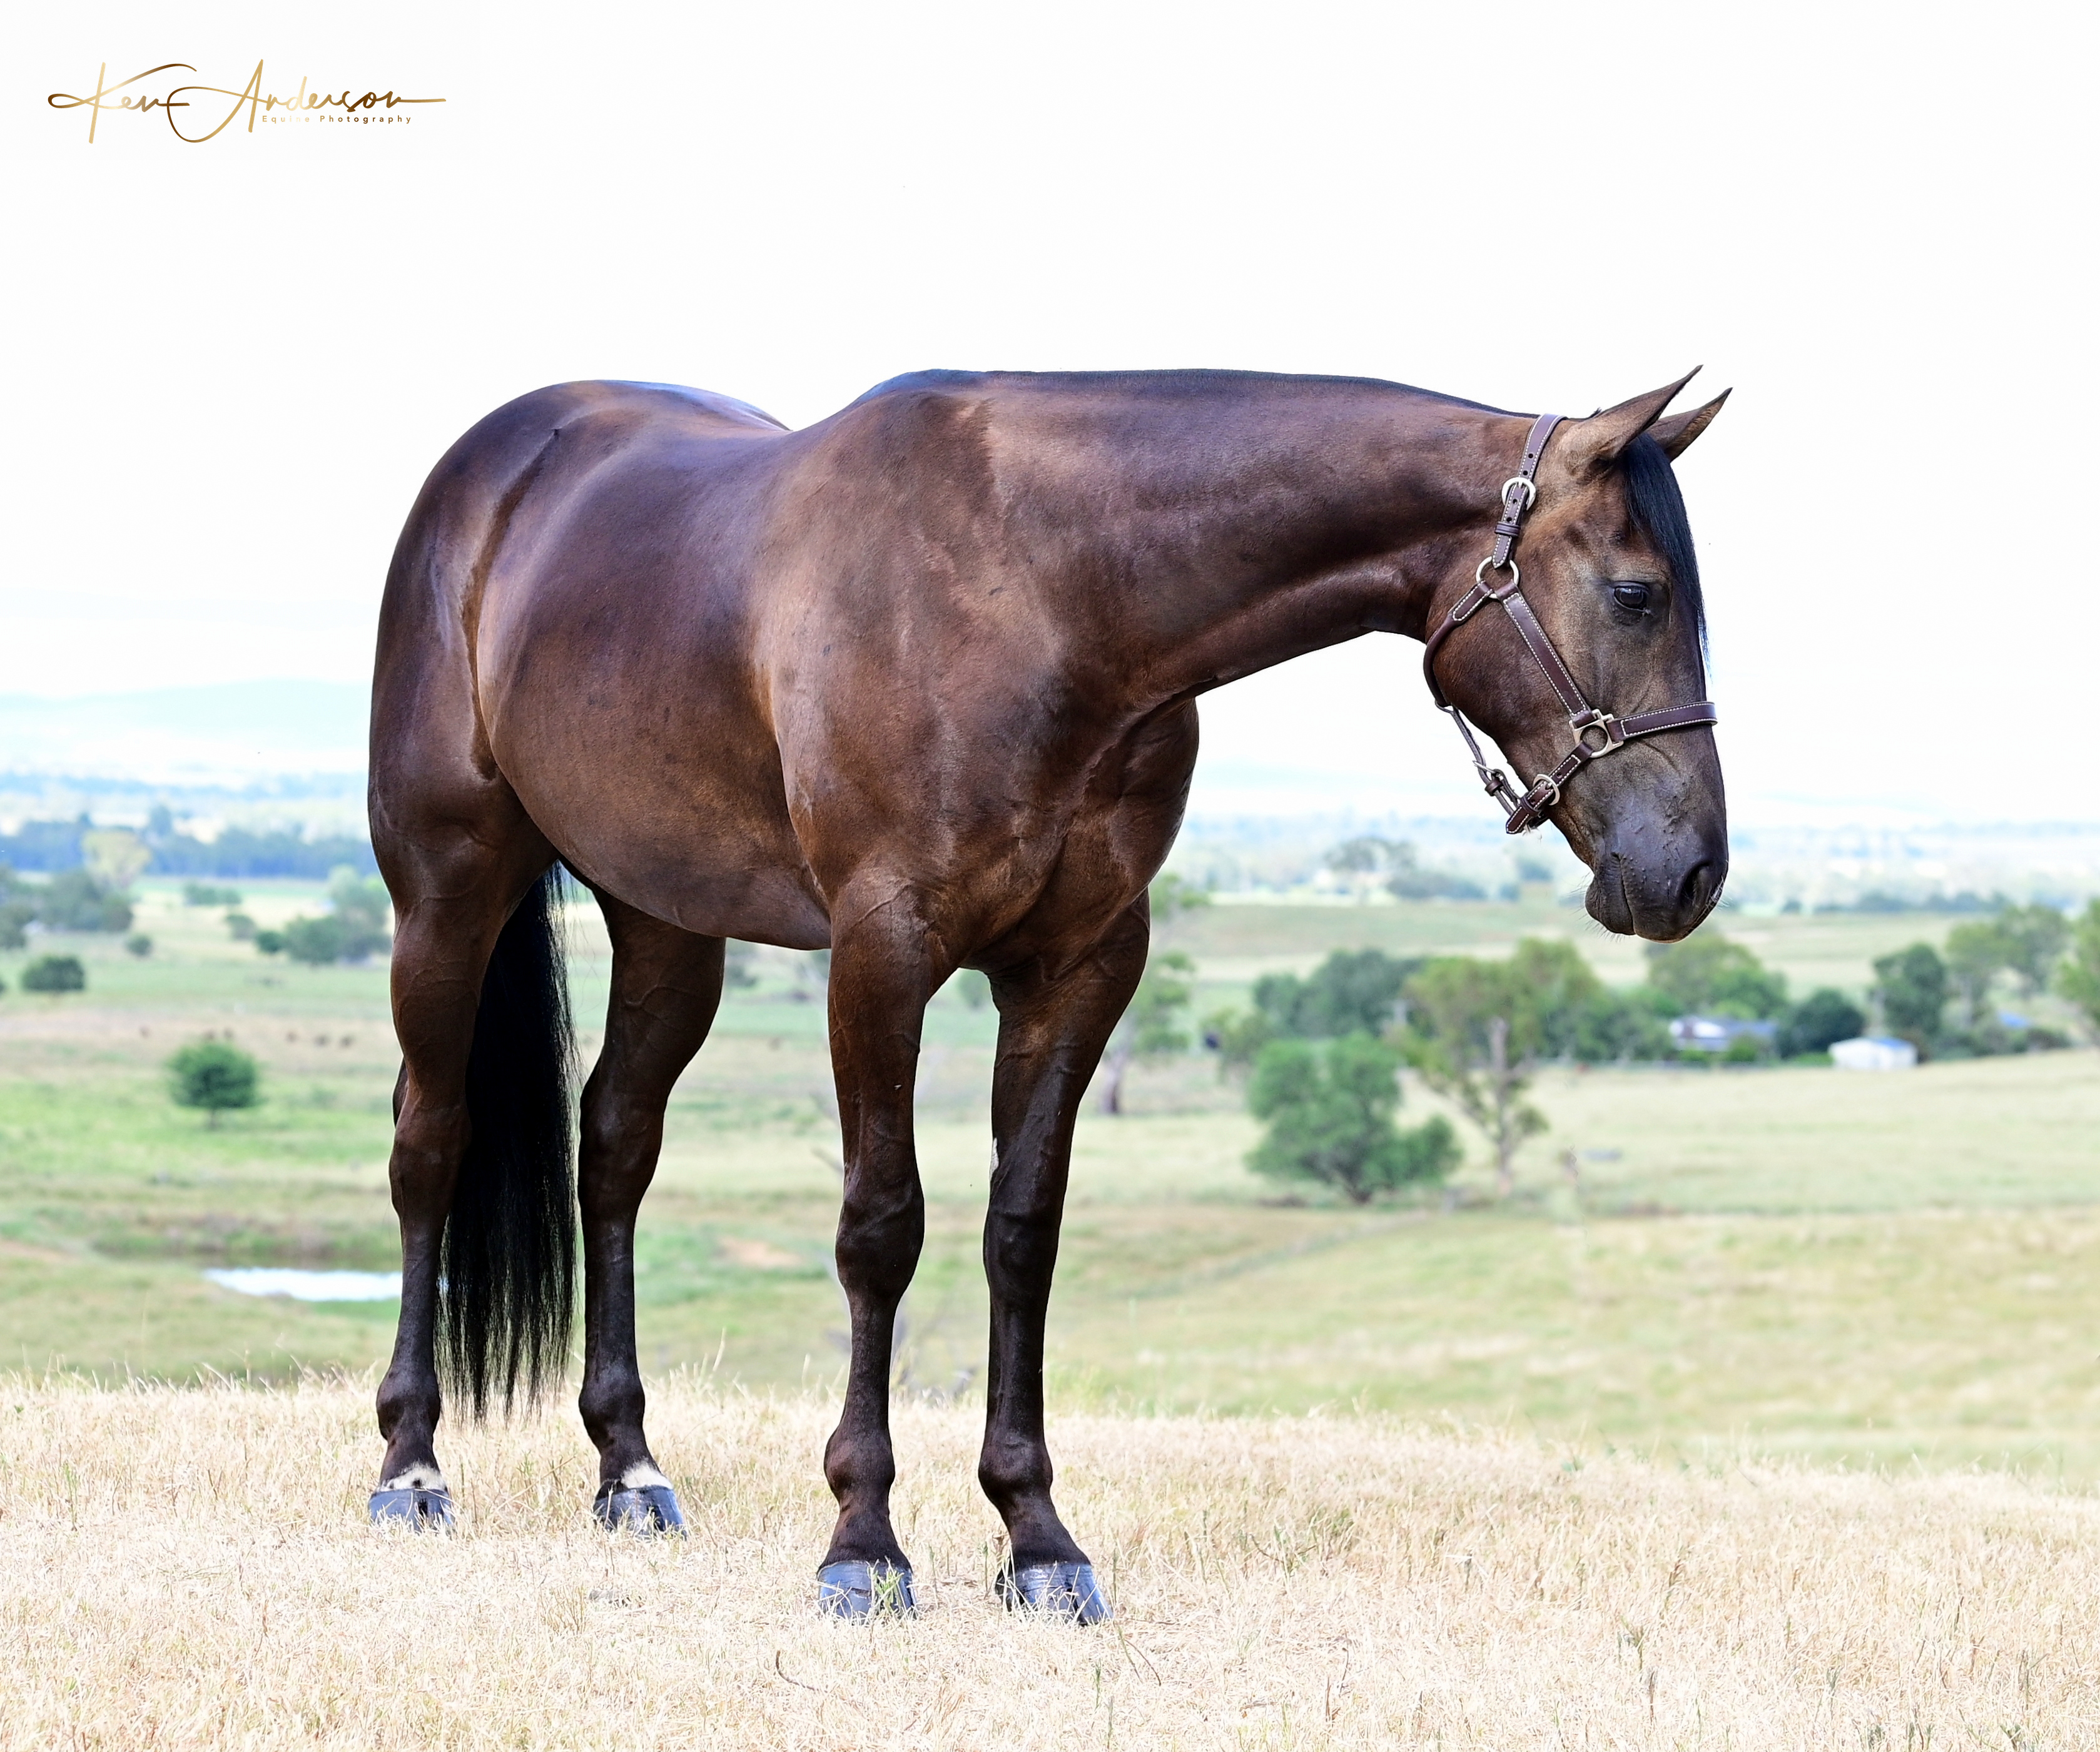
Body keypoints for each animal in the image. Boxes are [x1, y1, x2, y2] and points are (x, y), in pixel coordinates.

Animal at [365, 365, 1729, 1620]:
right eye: (1637, 592)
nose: (1690, 871)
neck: (1046, 587)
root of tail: (500, 467)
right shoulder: (881, 951)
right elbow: (881, 1229)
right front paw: (863, 1539)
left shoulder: (1081, 962)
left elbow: (1022, 1229)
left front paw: (1036, 1537)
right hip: (448, 890)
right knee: (431, 1142)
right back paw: (411, 1462)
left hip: (666, 923)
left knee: (614, 1145)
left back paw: (629, 1467)